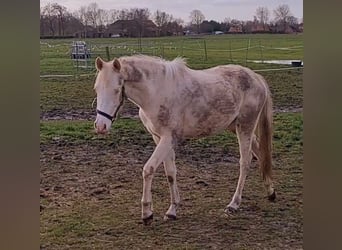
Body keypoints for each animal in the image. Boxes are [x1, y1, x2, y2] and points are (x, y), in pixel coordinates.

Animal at [93, 54, 276, 225]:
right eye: (96, 89)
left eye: (116, 89)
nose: (100, 126)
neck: (157, 91)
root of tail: (256, 77)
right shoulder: (158, 137)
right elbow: (170, 173)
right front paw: (172, 210)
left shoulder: (168, 138)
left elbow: (148, 169)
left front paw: (147, 213)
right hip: (235, 126)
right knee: (260, 153)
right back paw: (270, 192)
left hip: (245, 126)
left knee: (245, 161)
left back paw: (234, 204)